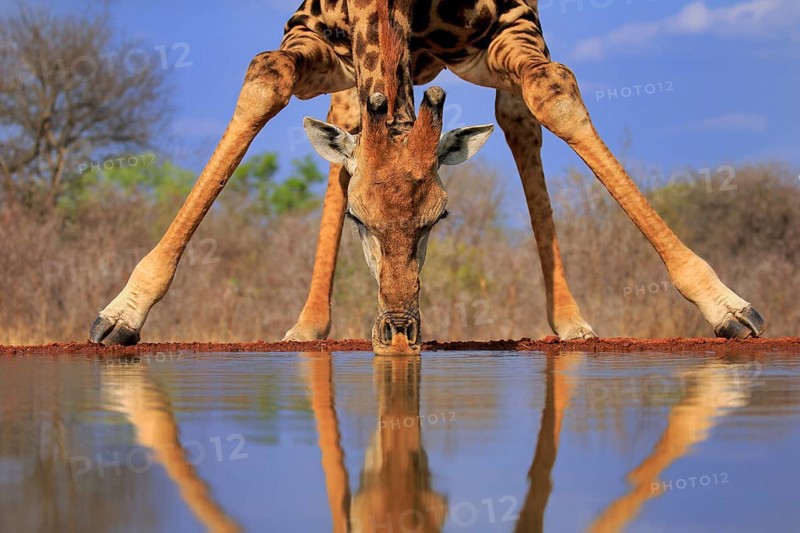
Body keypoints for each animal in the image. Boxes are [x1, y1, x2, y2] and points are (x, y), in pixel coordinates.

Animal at [90, 0, 766, 355]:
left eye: (440, 217)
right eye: (359, 217)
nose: (397, 333)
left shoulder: (514, 25)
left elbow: (555, 92)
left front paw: (726, 304)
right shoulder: (310, 32)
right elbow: (264, 78)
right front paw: (122, 312)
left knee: (518, 118)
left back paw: (570, 320)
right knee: (344, 121)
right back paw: (307, 324)